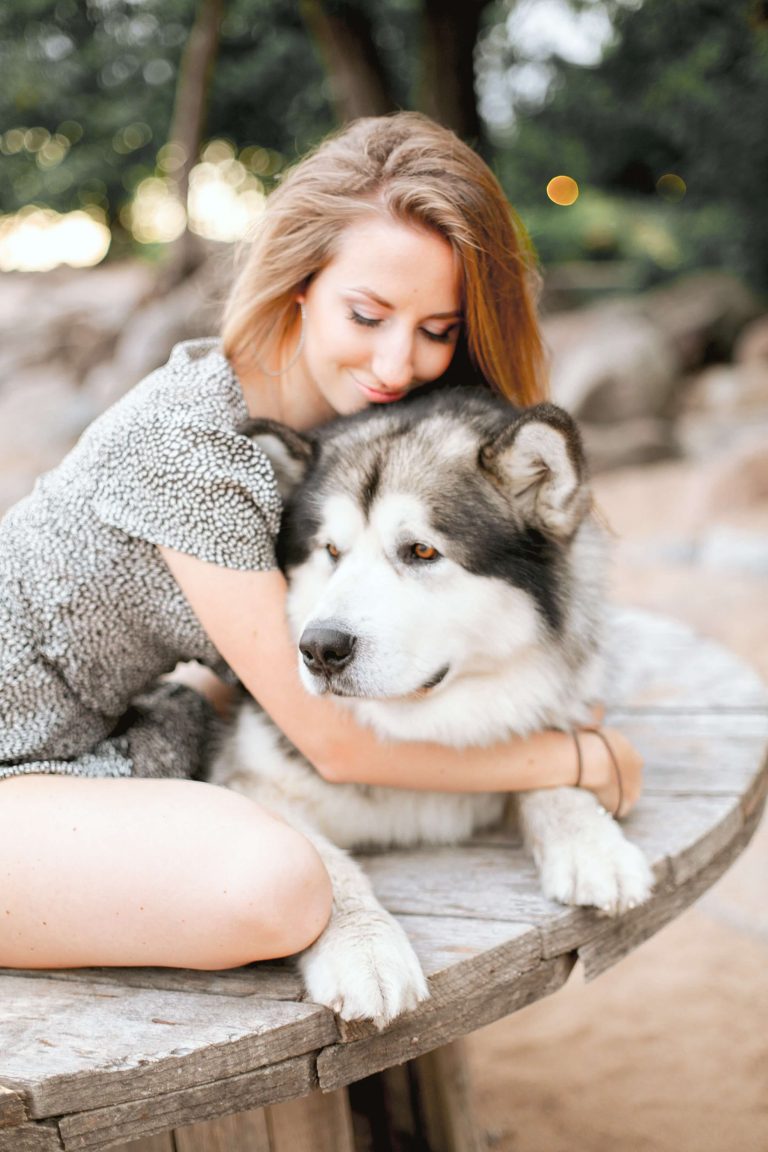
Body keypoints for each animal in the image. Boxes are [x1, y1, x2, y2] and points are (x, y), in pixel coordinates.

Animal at [210, 389, 654, 1027]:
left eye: (421, 551)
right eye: (332, 551)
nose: (319, 649)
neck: (413, 725)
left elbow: (544, 761)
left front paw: (593, 843)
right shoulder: (247, 780)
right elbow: (324, 864)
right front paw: (365, 949)